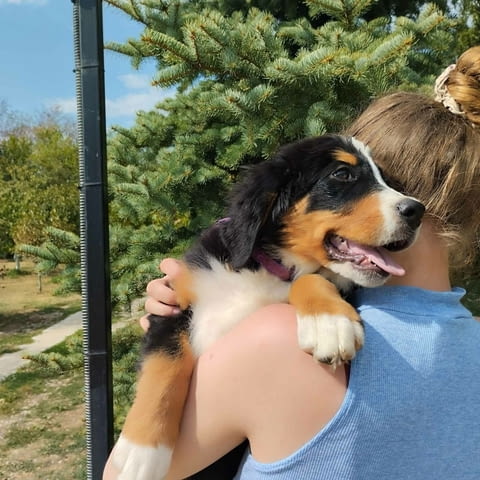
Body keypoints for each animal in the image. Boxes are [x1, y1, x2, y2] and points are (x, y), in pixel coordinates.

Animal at [111, 134, 424, 480]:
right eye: (342, 174)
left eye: (387, 179)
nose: (417, 211)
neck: (266, 268)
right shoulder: (172, 303)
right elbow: (163, 368)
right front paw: (139, 453)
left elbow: (312, 279)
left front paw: (328, 324)